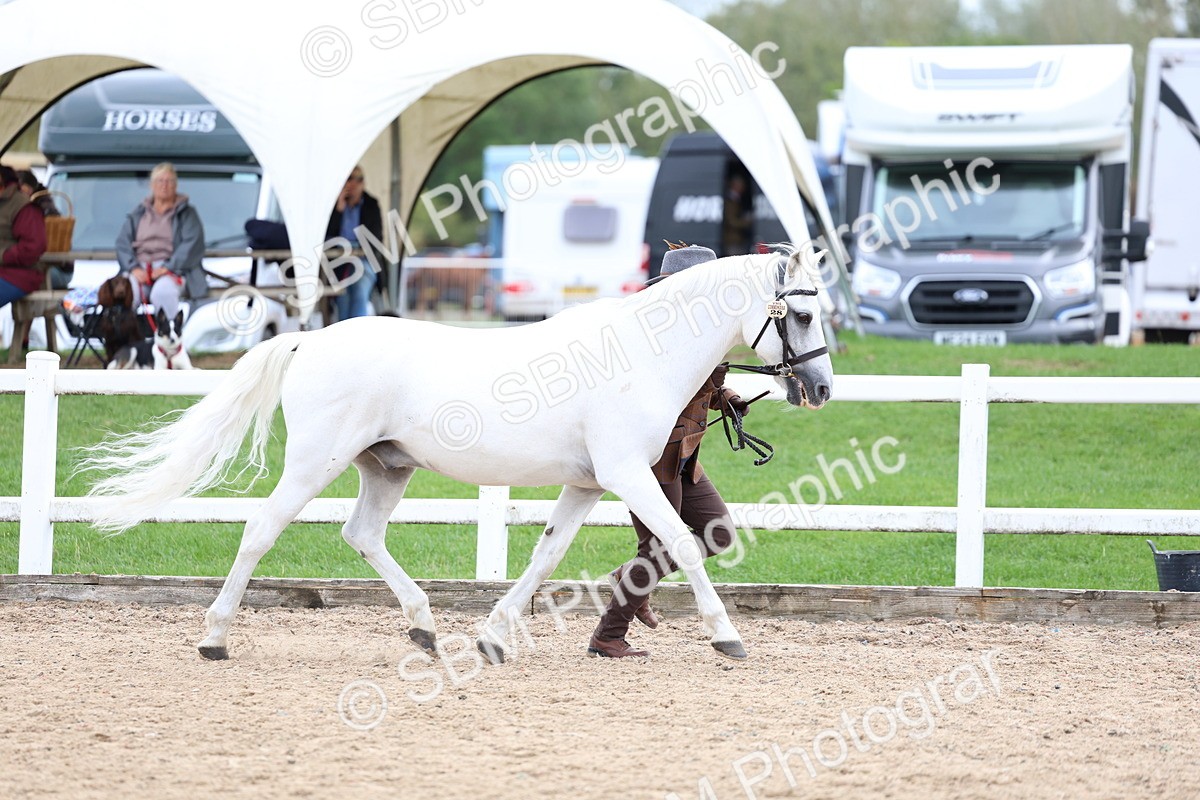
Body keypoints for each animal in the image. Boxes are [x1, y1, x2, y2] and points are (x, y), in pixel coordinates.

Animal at [79, 247, 834, 664]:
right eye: (799, 314)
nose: (822, 389)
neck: (639, 354)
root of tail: (307, 339)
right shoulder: (626, 475)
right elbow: (678, 540)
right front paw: (726, 636)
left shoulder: (589, 484)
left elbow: (547, 556)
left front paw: (494, 638)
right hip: (317, 464)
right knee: (262, 530)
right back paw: (214, 638)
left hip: (387, 466)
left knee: (362, 534)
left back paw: (423, 628)